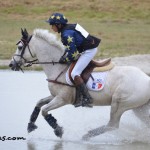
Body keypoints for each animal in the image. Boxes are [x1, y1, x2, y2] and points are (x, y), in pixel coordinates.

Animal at [9, 28, 150, 140]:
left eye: (20, 47)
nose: (11, 64)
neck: (58, 67)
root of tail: (146, 78)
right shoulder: (55, 96)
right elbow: (39, 103)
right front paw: (31, 125)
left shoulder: (62, 99)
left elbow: (44, 110)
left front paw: (58, 130)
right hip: (139, 108)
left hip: (119, 104)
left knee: (112, 125)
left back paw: (87, 135)